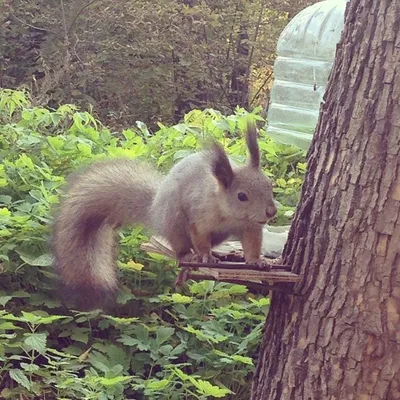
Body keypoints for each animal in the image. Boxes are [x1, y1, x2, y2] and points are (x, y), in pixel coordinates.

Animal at [50, 124, 278, 310]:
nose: (271, 212)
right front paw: (206, 256)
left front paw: (258, 262)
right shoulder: (199, 215)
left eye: (270, 185)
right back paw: (190, 256)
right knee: (181, 248)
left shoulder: (251, 227)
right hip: (173, 221)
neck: (231, 215)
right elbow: (200, 237)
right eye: (242, 196)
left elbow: (252, 245)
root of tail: (154, 210)